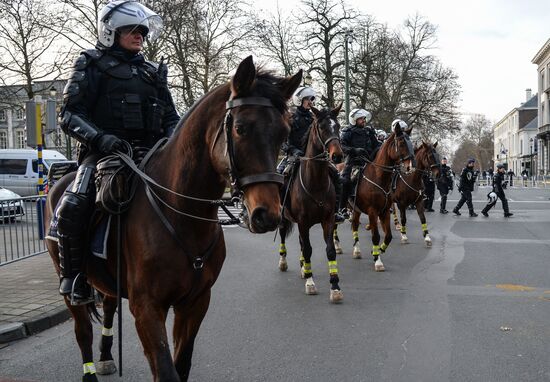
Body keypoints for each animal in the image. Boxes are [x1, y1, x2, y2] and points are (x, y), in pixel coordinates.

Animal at [43, 56, 302, 382]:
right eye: (241, 128)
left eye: (284, 132)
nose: (267, 214)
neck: (182, 217)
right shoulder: (147, 307)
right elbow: (166, 370)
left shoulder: (194, 302)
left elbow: (181, 363)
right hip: (66, 276)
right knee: (82, 330)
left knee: (108, 306)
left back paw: (106, 358)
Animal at [278, 104, 342, 302]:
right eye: (322, 127)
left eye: (338, 126)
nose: (337, 156)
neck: (316, 182)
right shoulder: (303, 221)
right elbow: (307, 250)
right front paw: (310, 283)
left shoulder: (328, 220)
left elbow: (330, 250)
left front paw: (335, 287)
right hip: (284, 218)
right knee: (283, 235)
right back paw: (284, 262)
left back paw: (303, 268)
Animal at [334, 124, 416, 272]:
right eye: (401, 143)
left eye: (411, 143)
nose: (410, 167)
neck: (378, 177)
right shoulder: (373, 212)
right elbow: (376, 236)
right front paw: (378, 261)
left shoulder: (384, 211)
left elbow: (388, 236)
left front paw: (377, 251)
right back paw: (337, 246)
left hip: (356, 209)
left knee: (354, 225)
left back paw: (357, 250)